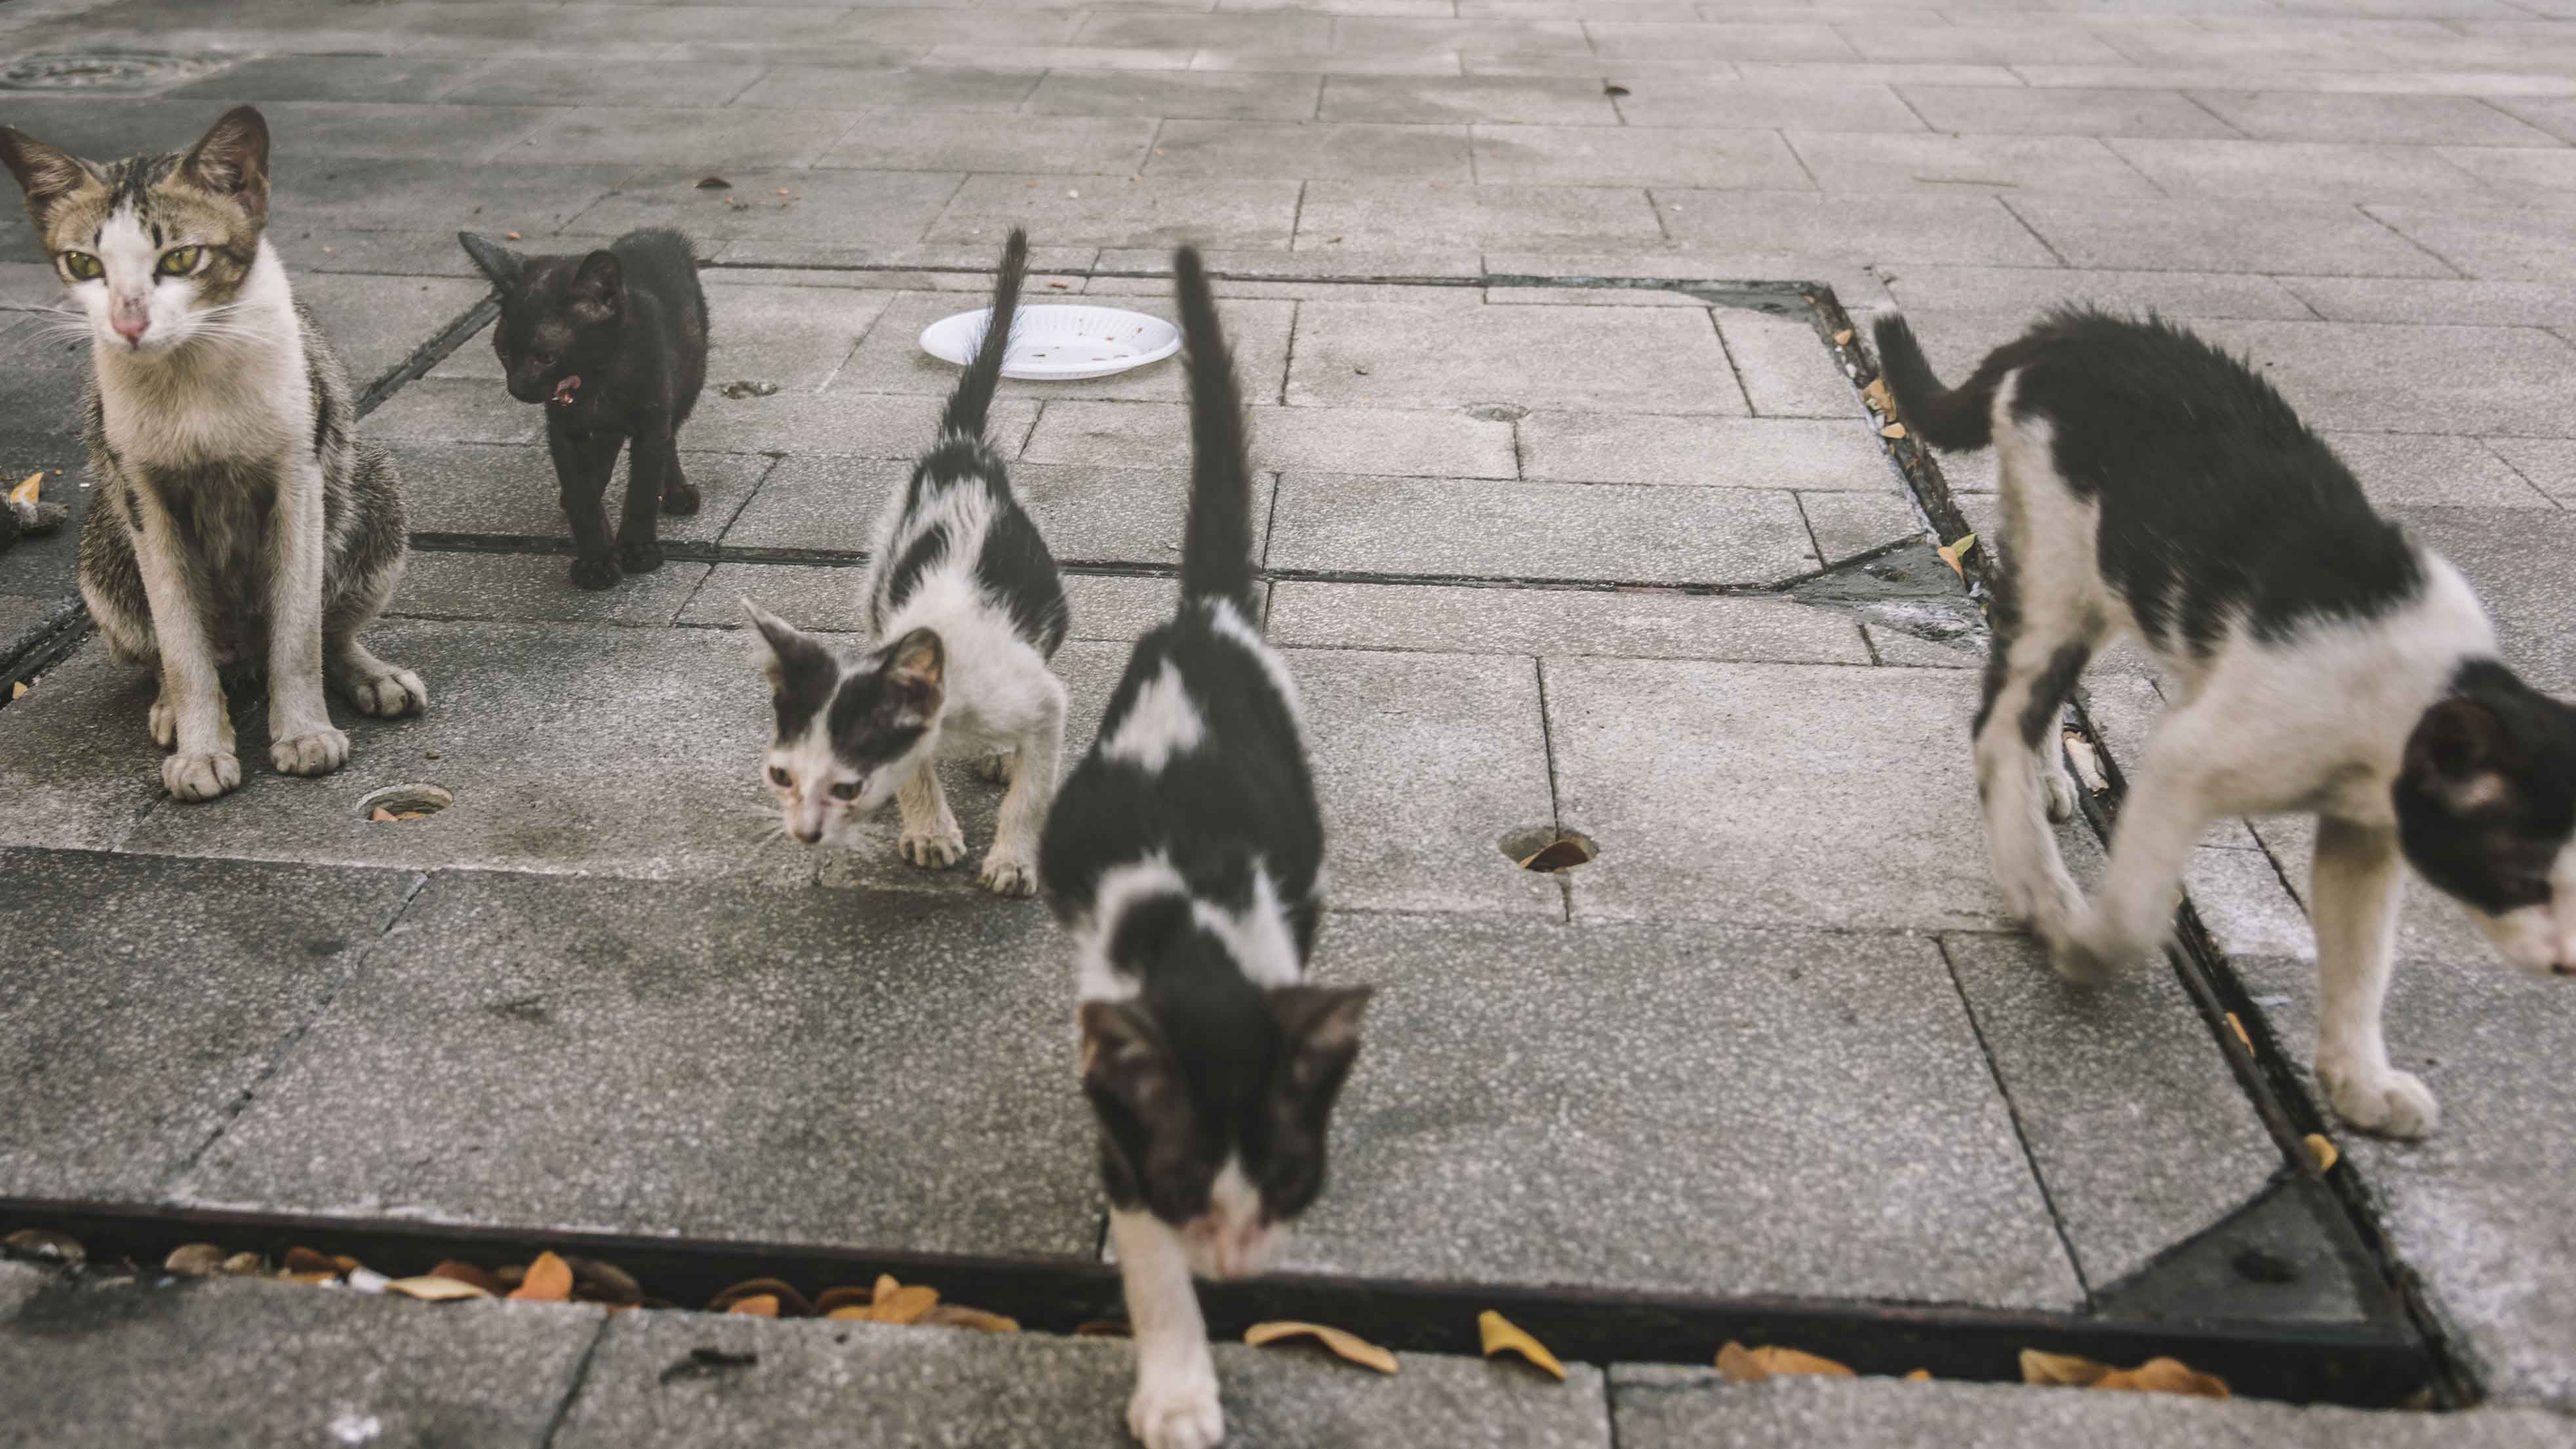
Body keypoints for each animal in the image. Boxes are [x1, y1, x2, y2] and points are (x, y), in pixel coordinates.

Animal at [2, 104, 422, 799]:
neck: (190, 372)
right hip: (102, 544)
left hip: (372, 482)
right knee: (168, 645)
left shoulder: (299, 477)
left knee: (328, 622)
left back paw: (368, 672)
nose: (128, 323)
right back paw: (174, 704)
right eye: (85, 266)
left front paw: (304, 731)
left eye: (181, 257)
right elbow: (179, 639)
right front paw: (201, 744)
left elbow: (299, 630)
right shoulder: (142, 496)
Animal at [448, 226, 700, 587]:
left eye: (546, 356)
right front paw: (596, 562)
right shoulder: (563, 430)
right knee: (608, 443)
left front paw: (638, 549)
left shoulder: (652, 418)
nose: (517, 388)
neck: (596, 382)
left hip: (688, 378)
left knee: (669, 434)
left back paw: (676, 491)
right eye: (504, 351)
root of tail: (656, 233)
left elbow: (644, 483)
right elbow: (582, 495)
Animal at [742, 228, 1071, 892]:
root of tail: (961, 449)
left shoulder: (1045, 702)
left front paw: (1013, 859)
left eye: (846, 786)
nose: (802, 833)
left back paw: (1002, 756)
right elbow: (916, 769)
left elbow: (1034, 788)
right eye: (781, 775)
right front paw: (928, 829)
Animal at [1040, 247, 1380, 1444]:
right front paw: (1179, 1386)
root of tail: (1205, 617)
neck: (1189, 929)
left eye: (1285, 1178)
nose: (1234, 1264)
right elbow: (1145, 1258)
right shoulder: (1120, 1117)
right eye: (1189, 1184)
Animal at [1875, 306, 2576, 1140]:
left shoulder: (2363, 834)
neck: (2413, 687)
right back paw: (2037, 884)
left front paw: (2357, 1081)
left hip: (2094, 583)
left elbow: (2359, 958)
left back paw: (2044, 786)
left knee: (2026, 691)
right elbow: (2137, 909)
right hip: (2062, 568)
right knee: (1997, 718)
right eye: (2522, 876)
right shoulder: (2187, 758)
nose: (2568, 962)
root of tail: (2076, 326)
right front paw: (2084, 946)